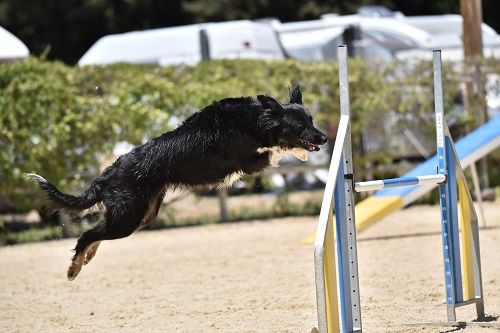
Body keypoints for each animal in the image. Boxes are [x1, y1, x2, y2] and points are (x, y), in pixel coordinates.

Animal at [29, 84, 330, 278]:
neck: (253, 120)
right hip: (128, 218)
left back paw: (86, 257)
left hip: (142, 214)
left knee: (95, 233)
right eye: (299, 125)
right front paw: (299, 152)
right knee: (88, 234)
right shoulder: (250, 161)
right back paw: (74, 267)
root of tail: (106, 176)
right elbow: (275, 150)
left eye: (311, 119)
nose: (325, 138)